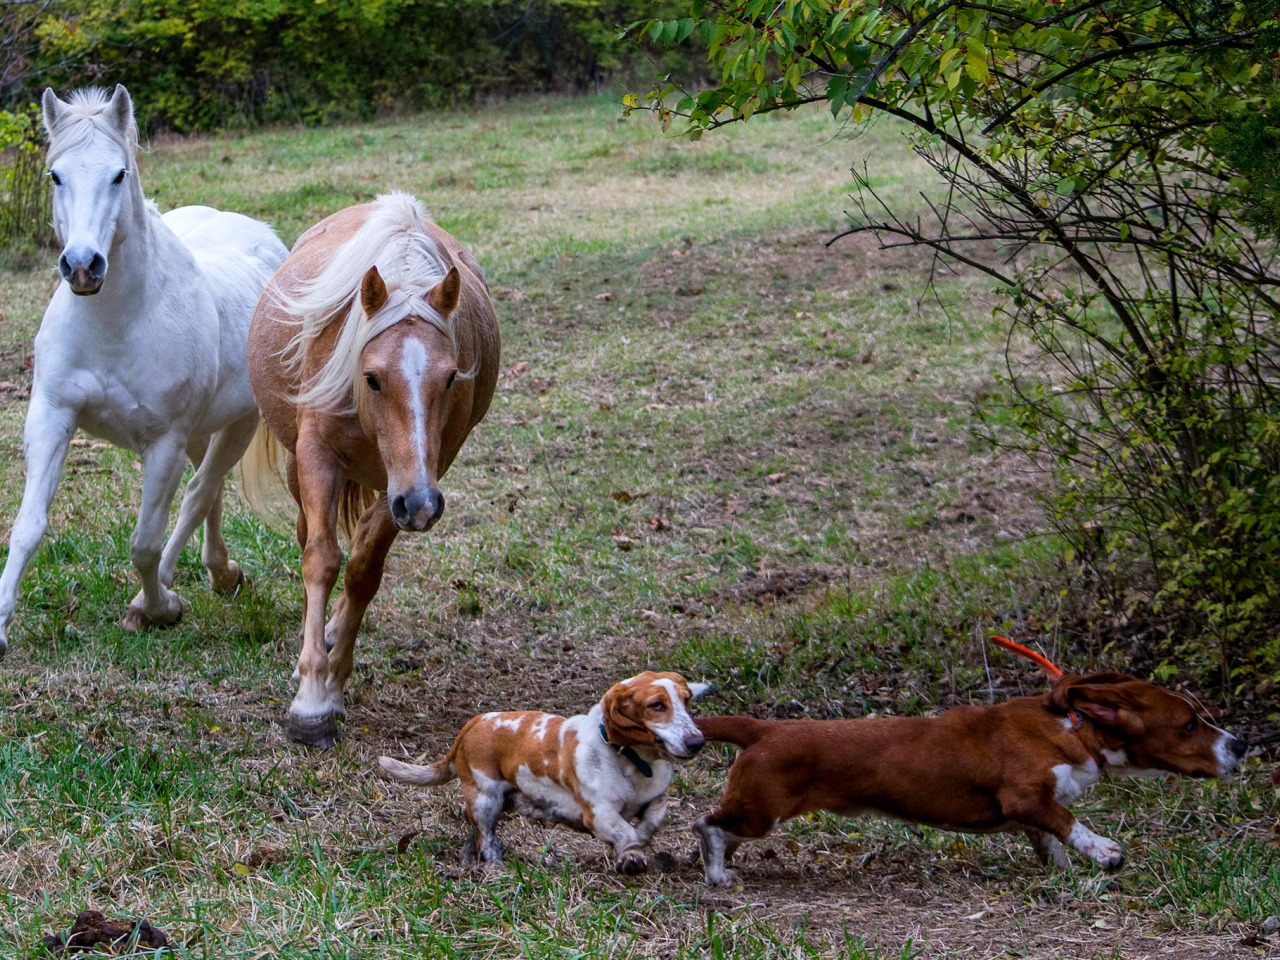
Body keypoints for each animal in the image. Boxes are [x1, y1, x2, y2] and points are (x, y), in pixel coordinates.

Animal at [0, 86, 288, 660]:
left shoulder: (164, 443)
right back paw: (221, 572)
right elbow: (27, 527)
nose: (82, 266)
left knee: (200, 491)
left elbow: (144, 543)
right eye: (55, 175)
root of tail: (265, 237)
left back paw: (180, 586)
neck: (115, 323)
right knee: (208, 492)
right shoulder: (51, 416)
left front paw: (157, 609)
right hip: (203, 430)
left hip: (238, 424)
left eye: (118, 174)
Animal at [241, 193, 501, 752]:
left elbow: (363, 570)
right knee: (307, 535)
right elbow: (320, 560)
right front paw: (311, 701)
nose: (422, 506)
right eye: (373, 377)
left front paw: (333, 680)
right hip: (302, 466)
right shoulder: (318, 455)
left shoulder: (410, 480)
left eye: (451, 377)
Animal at [376, 670, 711, 875]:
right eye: (656, 705)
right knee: (487, 840)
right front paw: (631, 855)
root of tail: (474, 723)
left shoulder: (656, 798)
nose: (697, 742)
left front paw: (638, 845)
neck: (632, 761)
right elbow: (625, 832)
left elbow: (651, 821)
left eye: (686, 701)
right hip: (486, 799)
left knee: (474, 837)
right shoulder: (599, 813)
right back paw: (496, 871)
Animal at [696, 670, 1244, 885]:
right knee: (707, 826)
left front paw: (1064, 871)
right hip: (761, 812)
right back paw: (718, 874)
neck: (1074, 727)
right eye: (1188, 724)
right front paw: (1106, 852)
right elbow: (1070, 822)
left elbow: (1053, 839)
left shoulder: (1035, 814)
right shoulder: (1025, 798)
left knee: (719, 829)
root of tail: (765, 728)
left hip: (756, 812)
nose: (1240, 745)